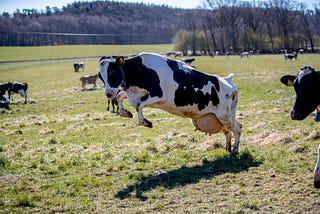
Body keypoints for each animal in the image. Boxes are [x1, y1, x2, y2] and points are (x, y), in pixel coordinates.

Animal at [99, 52, 241, 155]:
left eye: (112, 73)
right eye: (101, 77)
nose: (108, 94)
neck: (141, 70)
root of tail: (227, 81)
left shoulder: (158, 95)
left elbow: (138, 105)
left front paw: (146, 122)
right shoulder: (133, 93)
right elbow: (120, 96)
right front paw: (125, 113)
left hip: (225, 115)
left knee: (238, 128)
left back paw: (234, 151)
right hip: (220, 118)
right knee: (228, 131)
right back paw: (228, 148)